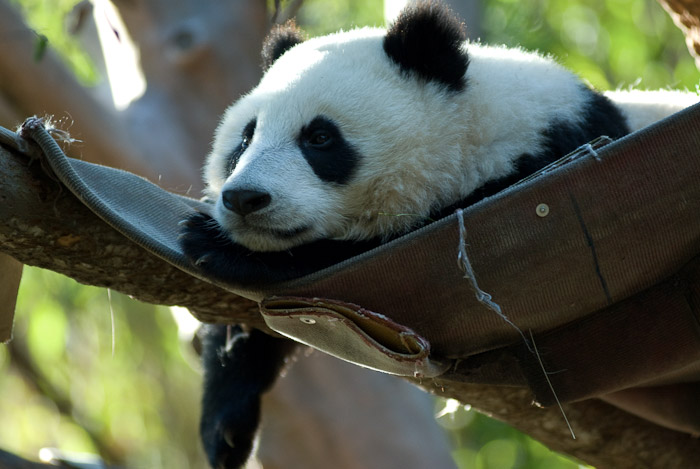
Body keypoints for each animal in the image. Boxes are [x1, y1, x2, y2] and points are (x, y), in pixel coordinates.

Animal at [180, 2, 698, 467]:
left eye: (320, 138)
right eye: (245, 138)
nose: (244, 198)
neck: (474, 131)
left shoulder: (550, 160)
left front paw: (220, 246)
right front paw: (224, 425)